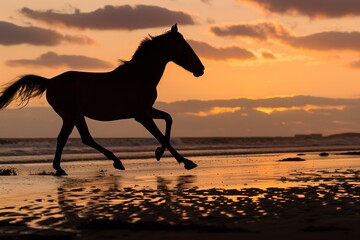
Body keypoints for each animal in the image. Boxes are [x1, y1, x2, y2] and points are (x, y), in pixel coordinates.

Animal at [0, 24, 205, 175]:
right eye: (185, 48)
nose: (201, 69)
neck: (138, 76)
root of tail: (50, 81)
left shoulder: (146, 110)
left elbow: (169, 119)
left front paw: (159, 153)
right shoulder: (141, 115)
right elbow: (160, 134)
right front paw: (186, 162)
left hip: (69, 116)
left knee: (63, 139)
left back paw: (60, 169)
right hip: (74, 114)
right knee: (85, 138)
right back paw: (116, 162)